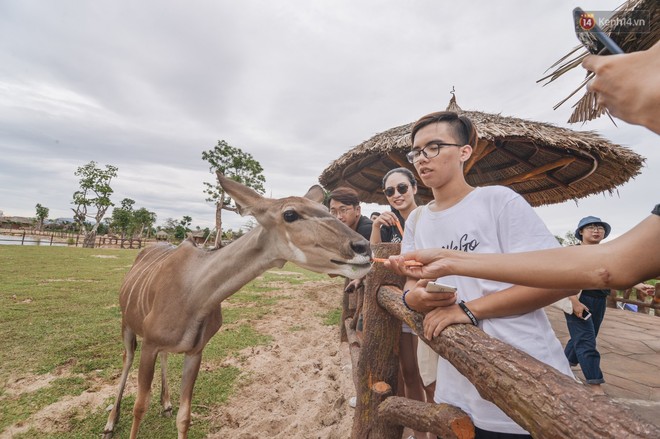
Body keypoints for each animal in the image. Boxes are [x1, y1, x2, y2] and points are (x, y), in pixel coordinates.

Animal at [103, 174, 372, 438]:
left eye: (326, 209)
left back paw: (166, 404)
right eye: (290, 214)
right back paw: (110, 423)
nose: (364, 248)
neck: (194, 294)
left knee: (165, 358)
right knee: (127, 359)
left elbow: (184, 416)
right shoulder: (150, 344)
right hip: (128, 325)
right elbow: (139, 407)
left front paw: (172, 408)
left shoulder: (195, 351)